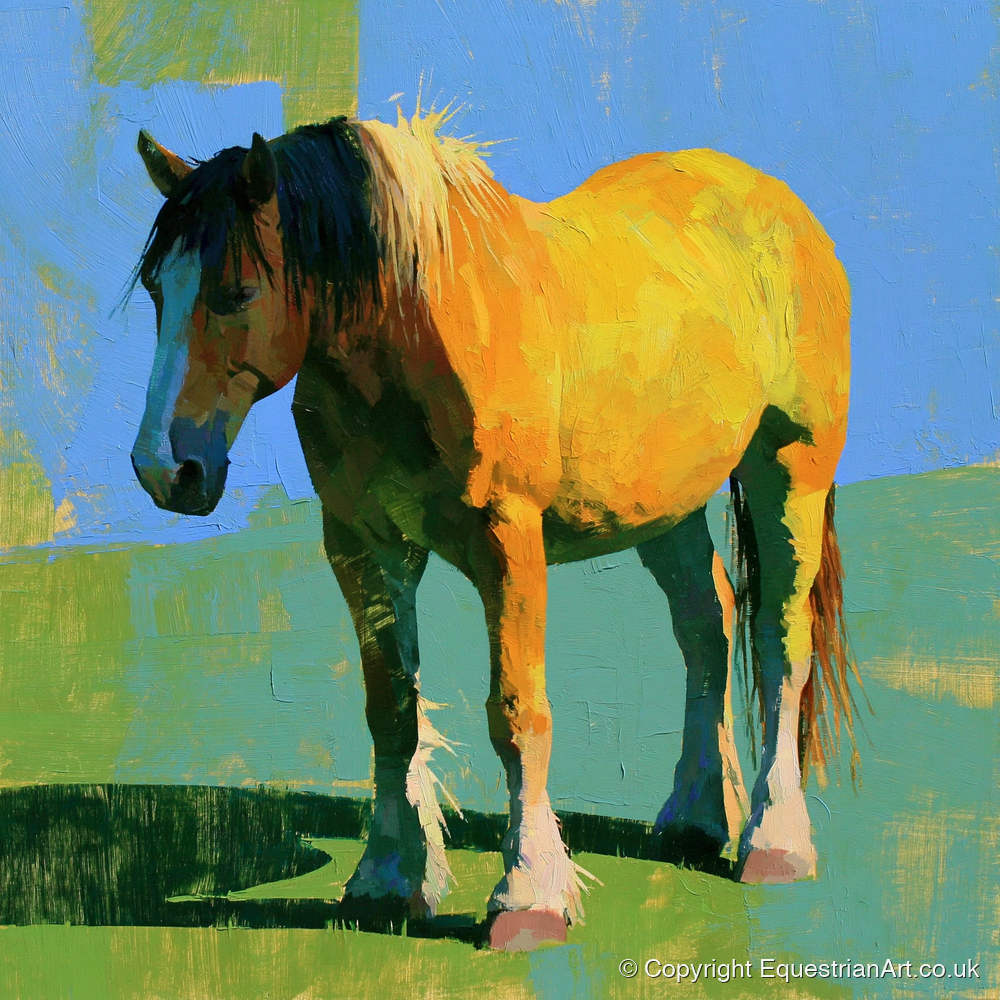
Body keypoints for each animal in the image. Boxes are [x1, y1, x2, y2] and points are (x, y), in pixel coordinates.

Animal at [130, 110, 857, 951]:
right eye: (155, 289)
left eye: (237, 290)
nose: (164, 469)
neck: (420, 328)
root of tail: (776, 203)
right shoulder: (363, 546)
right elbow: (392, 712)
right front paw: (387, 880)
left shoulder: (508, 541)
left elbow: (517, 713)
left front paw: (529, 895)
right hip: (659, 501)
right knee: (706, 626)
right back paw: (697, 819)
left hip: (789, 469)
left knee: (778, 639)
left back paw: (775, 839)